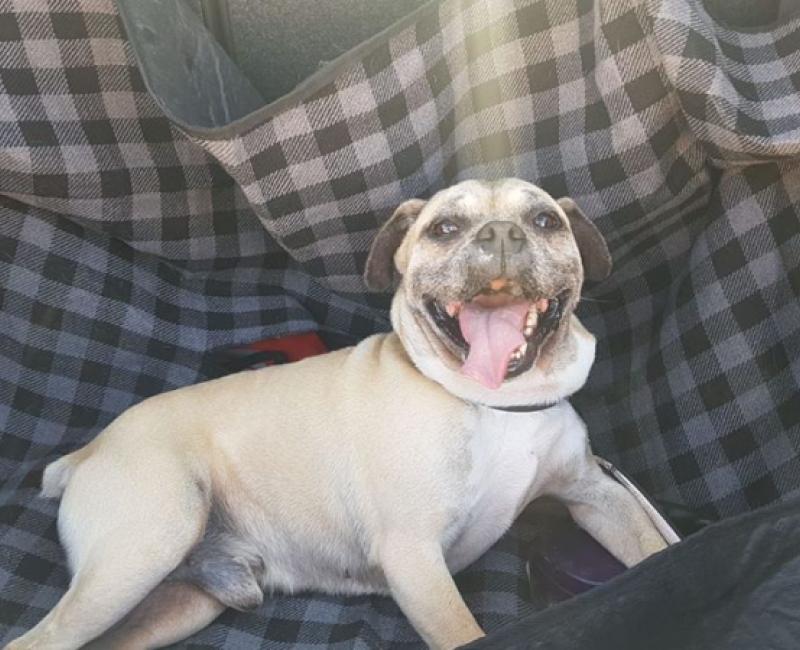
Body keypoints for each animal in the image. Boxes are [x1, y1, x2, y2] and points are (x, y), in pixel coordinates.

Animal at [6, 179, 668, 650]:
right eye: (445, 228)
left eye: (546, 220)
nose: (502, 233)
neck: (495, 404)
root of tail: (85, 454)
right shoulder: (415, 556)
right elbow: (463, 632)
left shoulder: (596, 496)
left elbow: (652, 552)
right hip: (146, 542)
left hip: (173, 604)